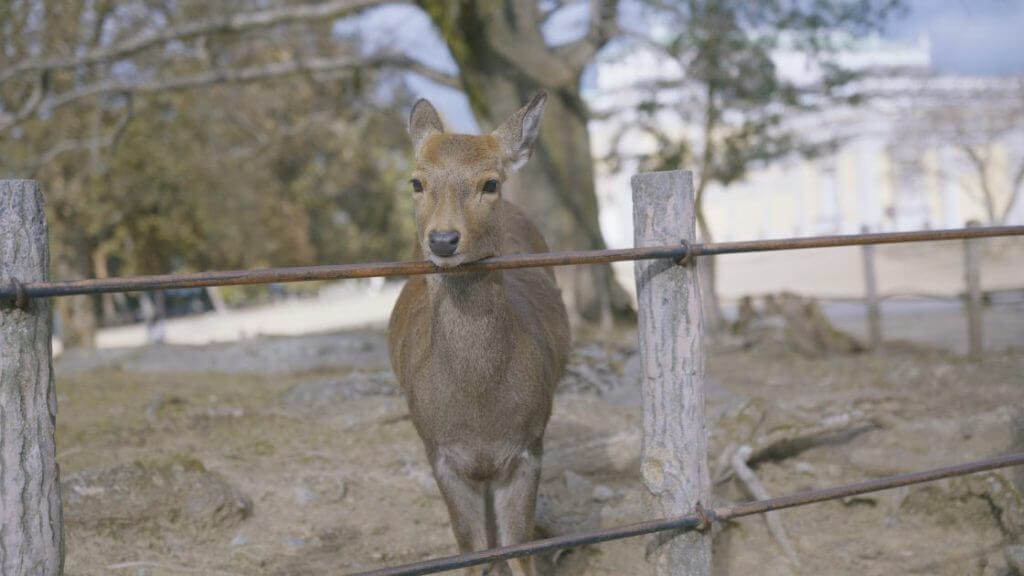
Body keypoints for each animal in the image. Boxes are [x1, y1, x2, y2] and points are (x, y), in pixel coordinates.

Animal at [388, 92, 571, 576]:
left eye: (490, 183)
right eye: (416, 181)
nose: (443, 239)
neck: (480, 413)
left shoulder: (528, 446)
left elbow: (519, 547)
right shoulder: (439, 451)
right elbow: (468, 547)